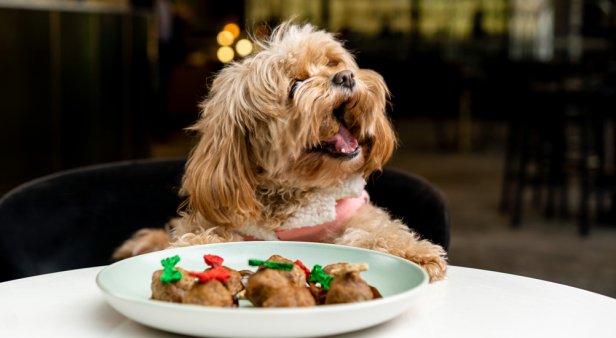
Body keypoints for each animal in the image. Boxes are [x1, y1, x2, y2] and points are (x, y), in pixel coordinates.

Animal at [113, 21, 446, 282]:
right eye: (295, 85)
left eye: (333, 63)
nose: (347, 77)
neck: (295, 195)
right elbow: (198, 235)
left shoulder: (356, 214)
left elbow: (382, 230)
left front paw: (414, 254)